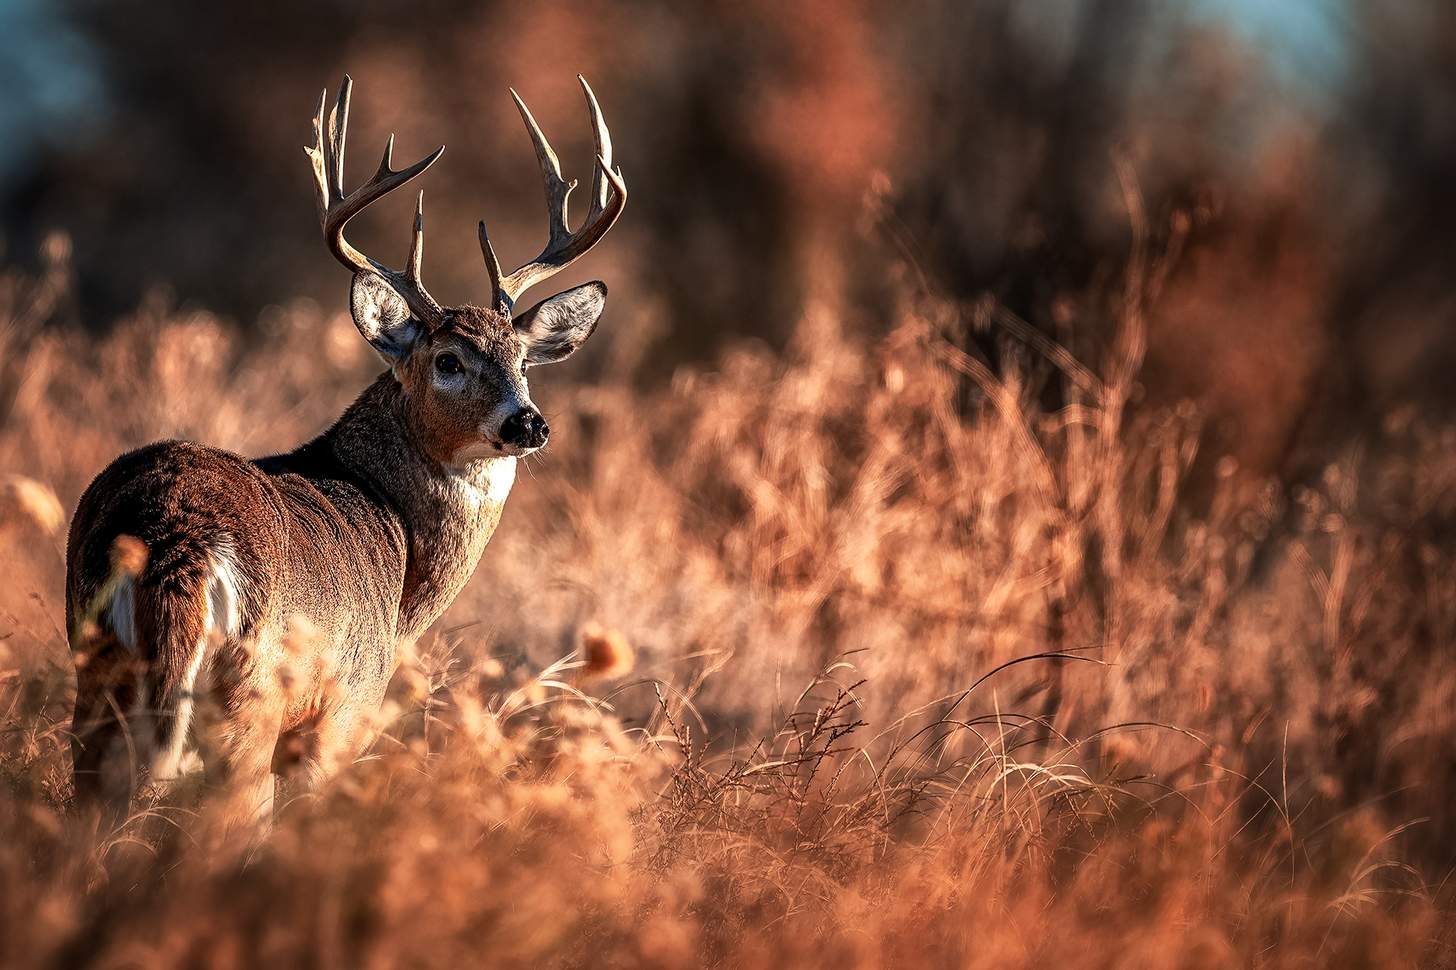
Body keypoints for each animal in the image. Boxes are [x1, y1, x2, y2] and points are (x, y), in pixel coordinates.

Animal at [65, 75, 626, 828]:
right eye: (448, 360)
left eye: (523, 361)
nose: (529, 424)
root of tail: (177, 536)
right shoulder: (344, 708)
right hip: (248, 701)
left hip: (94, 667)